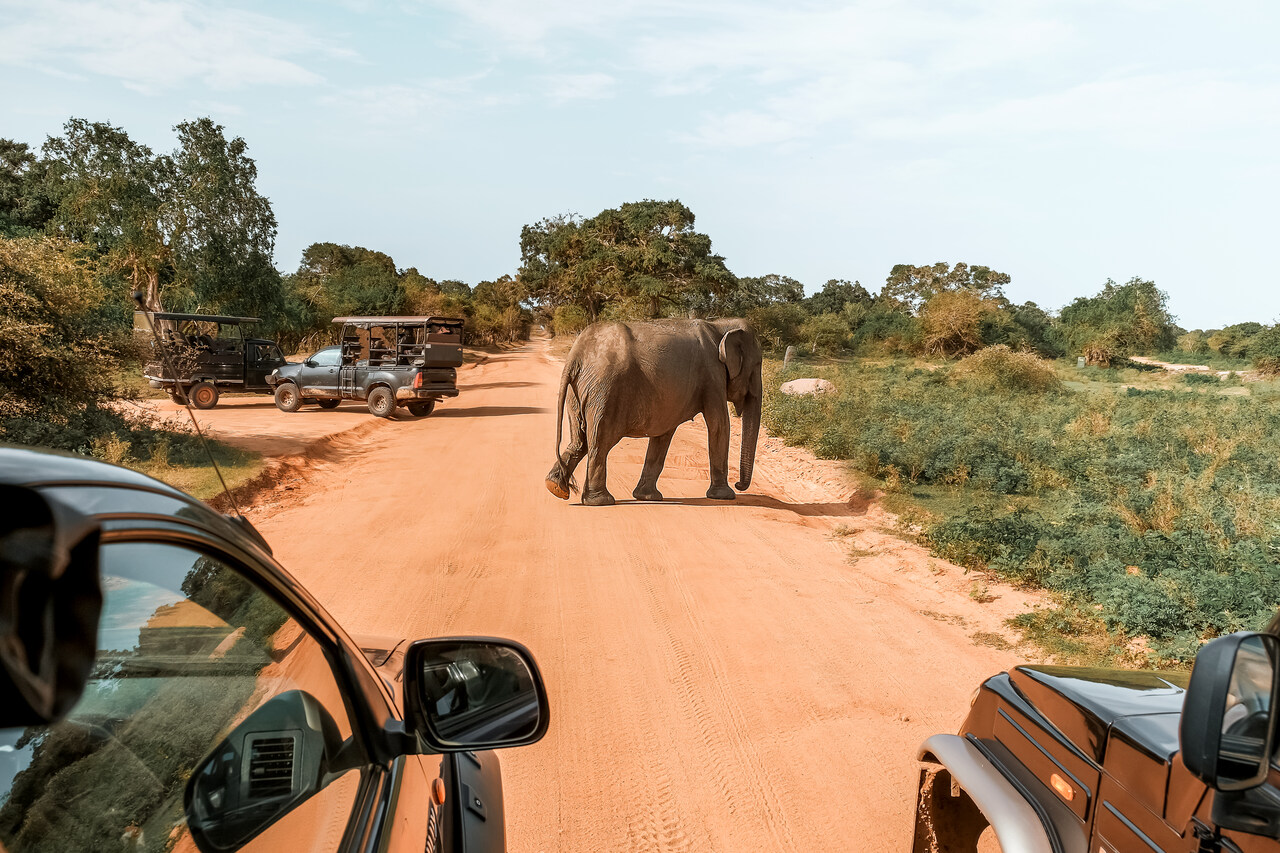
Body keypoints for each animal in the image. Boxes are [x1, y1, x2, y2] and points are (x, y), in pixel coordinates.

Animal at [545, 319, 763, 506]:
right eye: (758, 365)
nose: (739, 485)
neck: (720, 325)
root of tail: (576, 355)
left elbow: (664, 434)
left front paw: (647, 497)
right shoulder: (712, 374)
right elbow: (719, 425)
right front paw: (724, 496)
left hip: (578, 392)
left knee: (580, 440)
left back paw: (556, 487)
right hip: (605, 392)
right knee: (599, 442)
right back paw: (601, 501)